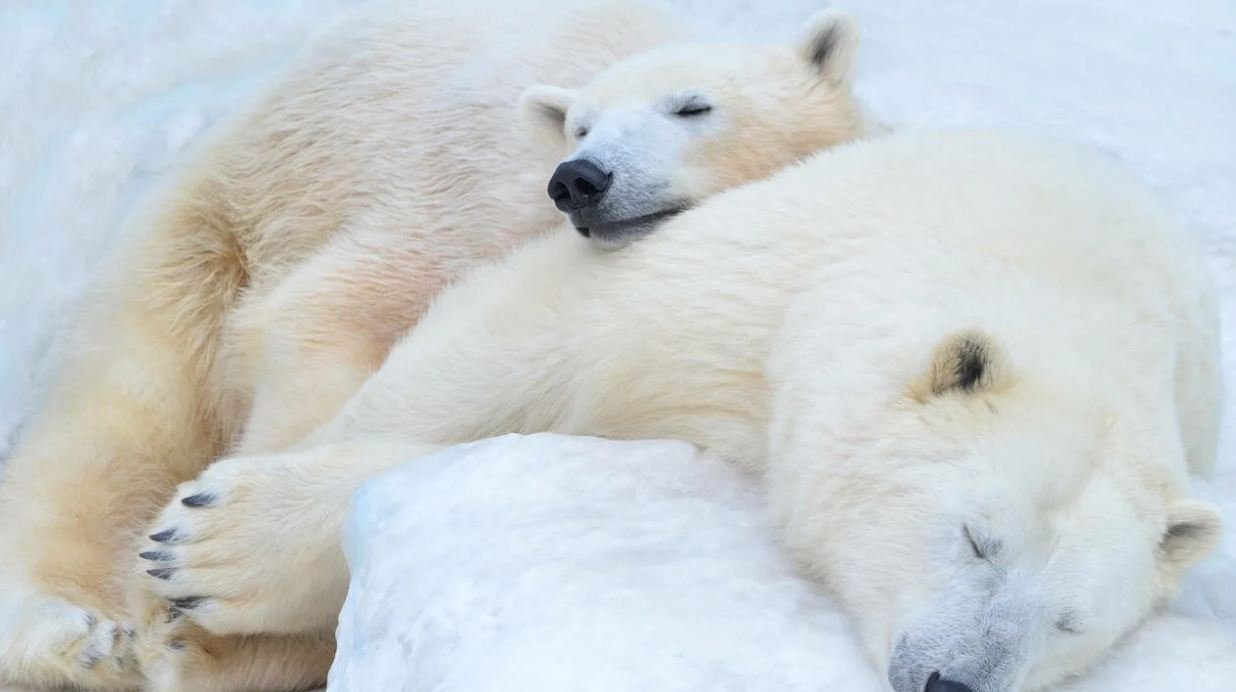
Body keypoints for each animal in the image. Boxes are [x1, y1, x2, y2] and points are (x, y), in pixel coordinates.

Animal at [140, 130, 1221, 692]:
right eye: (976, 538)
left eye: (1072, 621)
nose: (953, 681)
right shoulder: (753, 291)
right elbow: (510, 348)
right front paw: (204, 549)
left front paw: (219, 556)